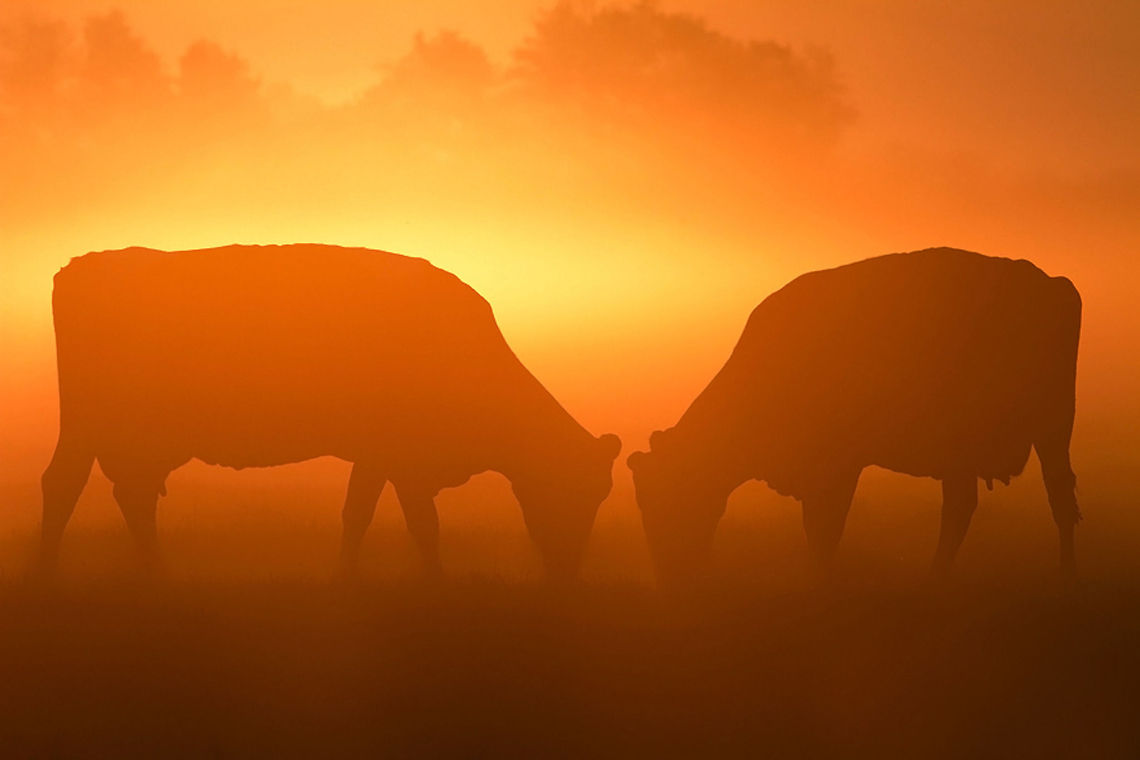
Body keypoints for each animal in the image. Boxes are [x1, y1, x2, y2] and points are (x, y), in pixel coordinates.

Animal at [40, 244, 621, 579]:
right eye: (576, 491)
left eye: (600, 494)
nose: (569, 571)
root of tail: (83, 265)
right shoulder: (397, 454)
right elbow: (411, 523)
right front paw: (432, 581)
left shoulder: (385, 457)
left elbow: (365, 515)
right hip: (93, 426)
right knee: (65, 485)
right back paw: (54, 577)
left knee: (129, 496)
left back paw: (154, 572)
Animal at [628, 248, 1081, 584]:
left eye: (670, 498)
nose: (671, 576)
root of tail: (1053, 283)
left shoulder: (838, 468)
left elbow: (824, 532)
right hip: (967, 453)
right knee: (962, 508)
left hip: (1051, 432)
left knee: (1056, 502)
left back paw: (1064, 579)